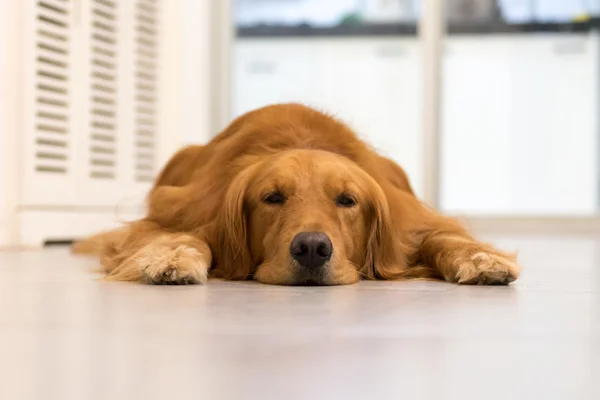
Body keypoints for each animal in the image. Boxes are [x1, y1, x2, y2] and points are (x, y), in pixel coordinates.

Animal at [72, 103, 524, 284]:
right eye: (272, 197)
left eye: (347, 200)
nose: (311, 249)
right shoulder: (177, 212)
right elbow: (180, 235)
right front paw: (172, 258)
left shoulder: (410, 224)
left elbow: (444, 237)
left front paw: (481, 259)